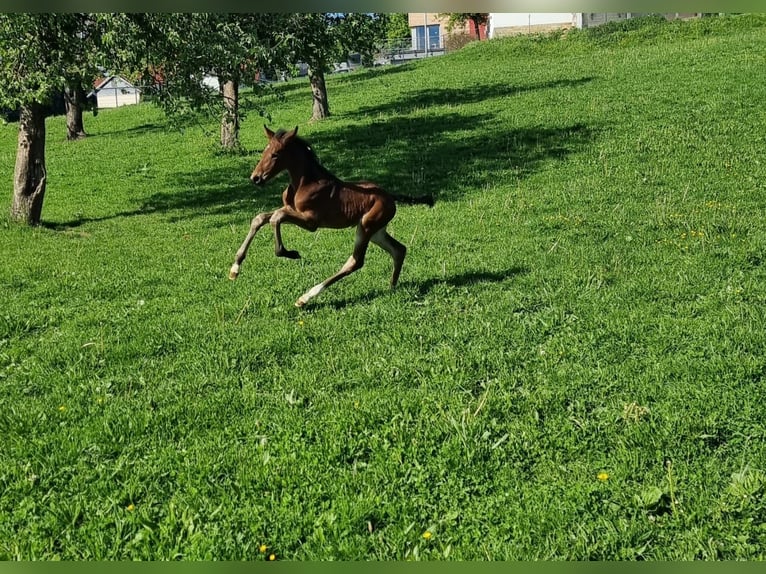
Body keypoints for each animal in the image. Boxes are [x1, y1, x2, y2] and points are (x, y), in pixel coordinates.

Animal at [229, 125, 434, 307]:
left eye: (275, 154)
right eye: (264, 151)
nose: (256, 178)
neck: (304, 183)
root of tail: (390, 196)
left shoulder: (311, 222)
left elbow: (276, 217)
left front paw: (289, 253)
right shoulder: (289, 208)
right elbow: (260, 218)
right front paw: (235, 268)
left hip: (366, 227)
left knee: (356, 261)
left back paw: (305, 298)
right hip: (376, 231)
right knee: (398, 249)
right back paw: (392, 287)